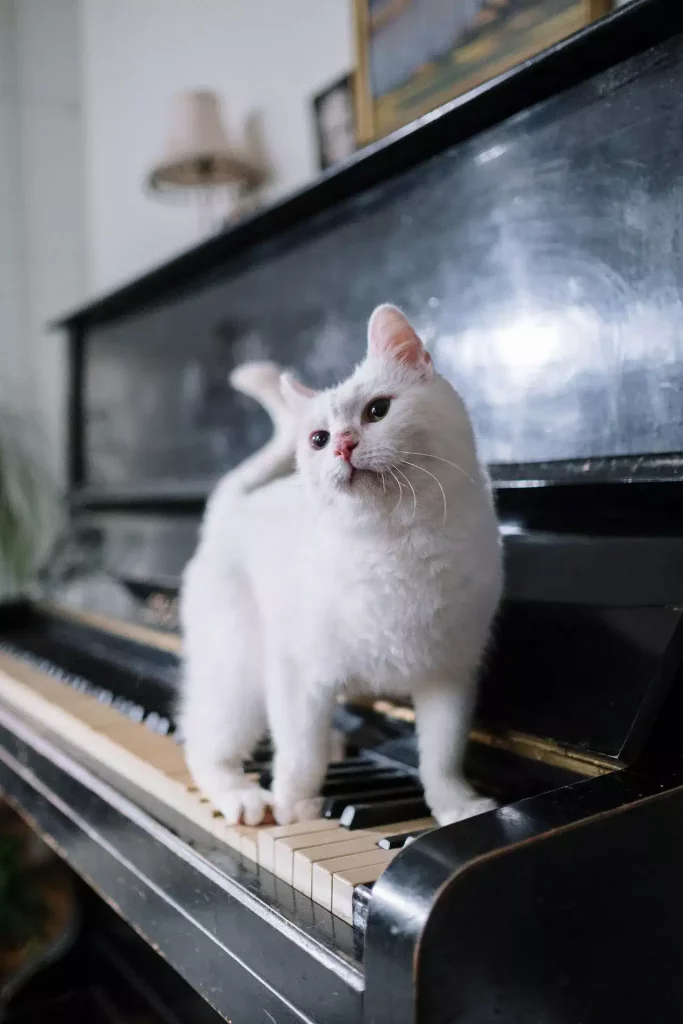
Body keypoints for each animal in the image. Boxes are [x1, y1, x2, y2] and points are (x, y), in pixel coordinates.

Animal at [179, 305, 505, 831]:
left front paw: (457, 808)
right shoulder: (299, 675)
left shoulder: (448, 678)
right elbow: (299, 755)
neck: (395, 543)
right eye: (318, 439)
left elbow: (442, 757)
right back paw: (245, 797)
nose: (343, 446)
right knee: (206, 746)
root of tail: (231, 508)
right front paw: (295, 809)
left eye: (377, 411)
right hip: (239, 675)